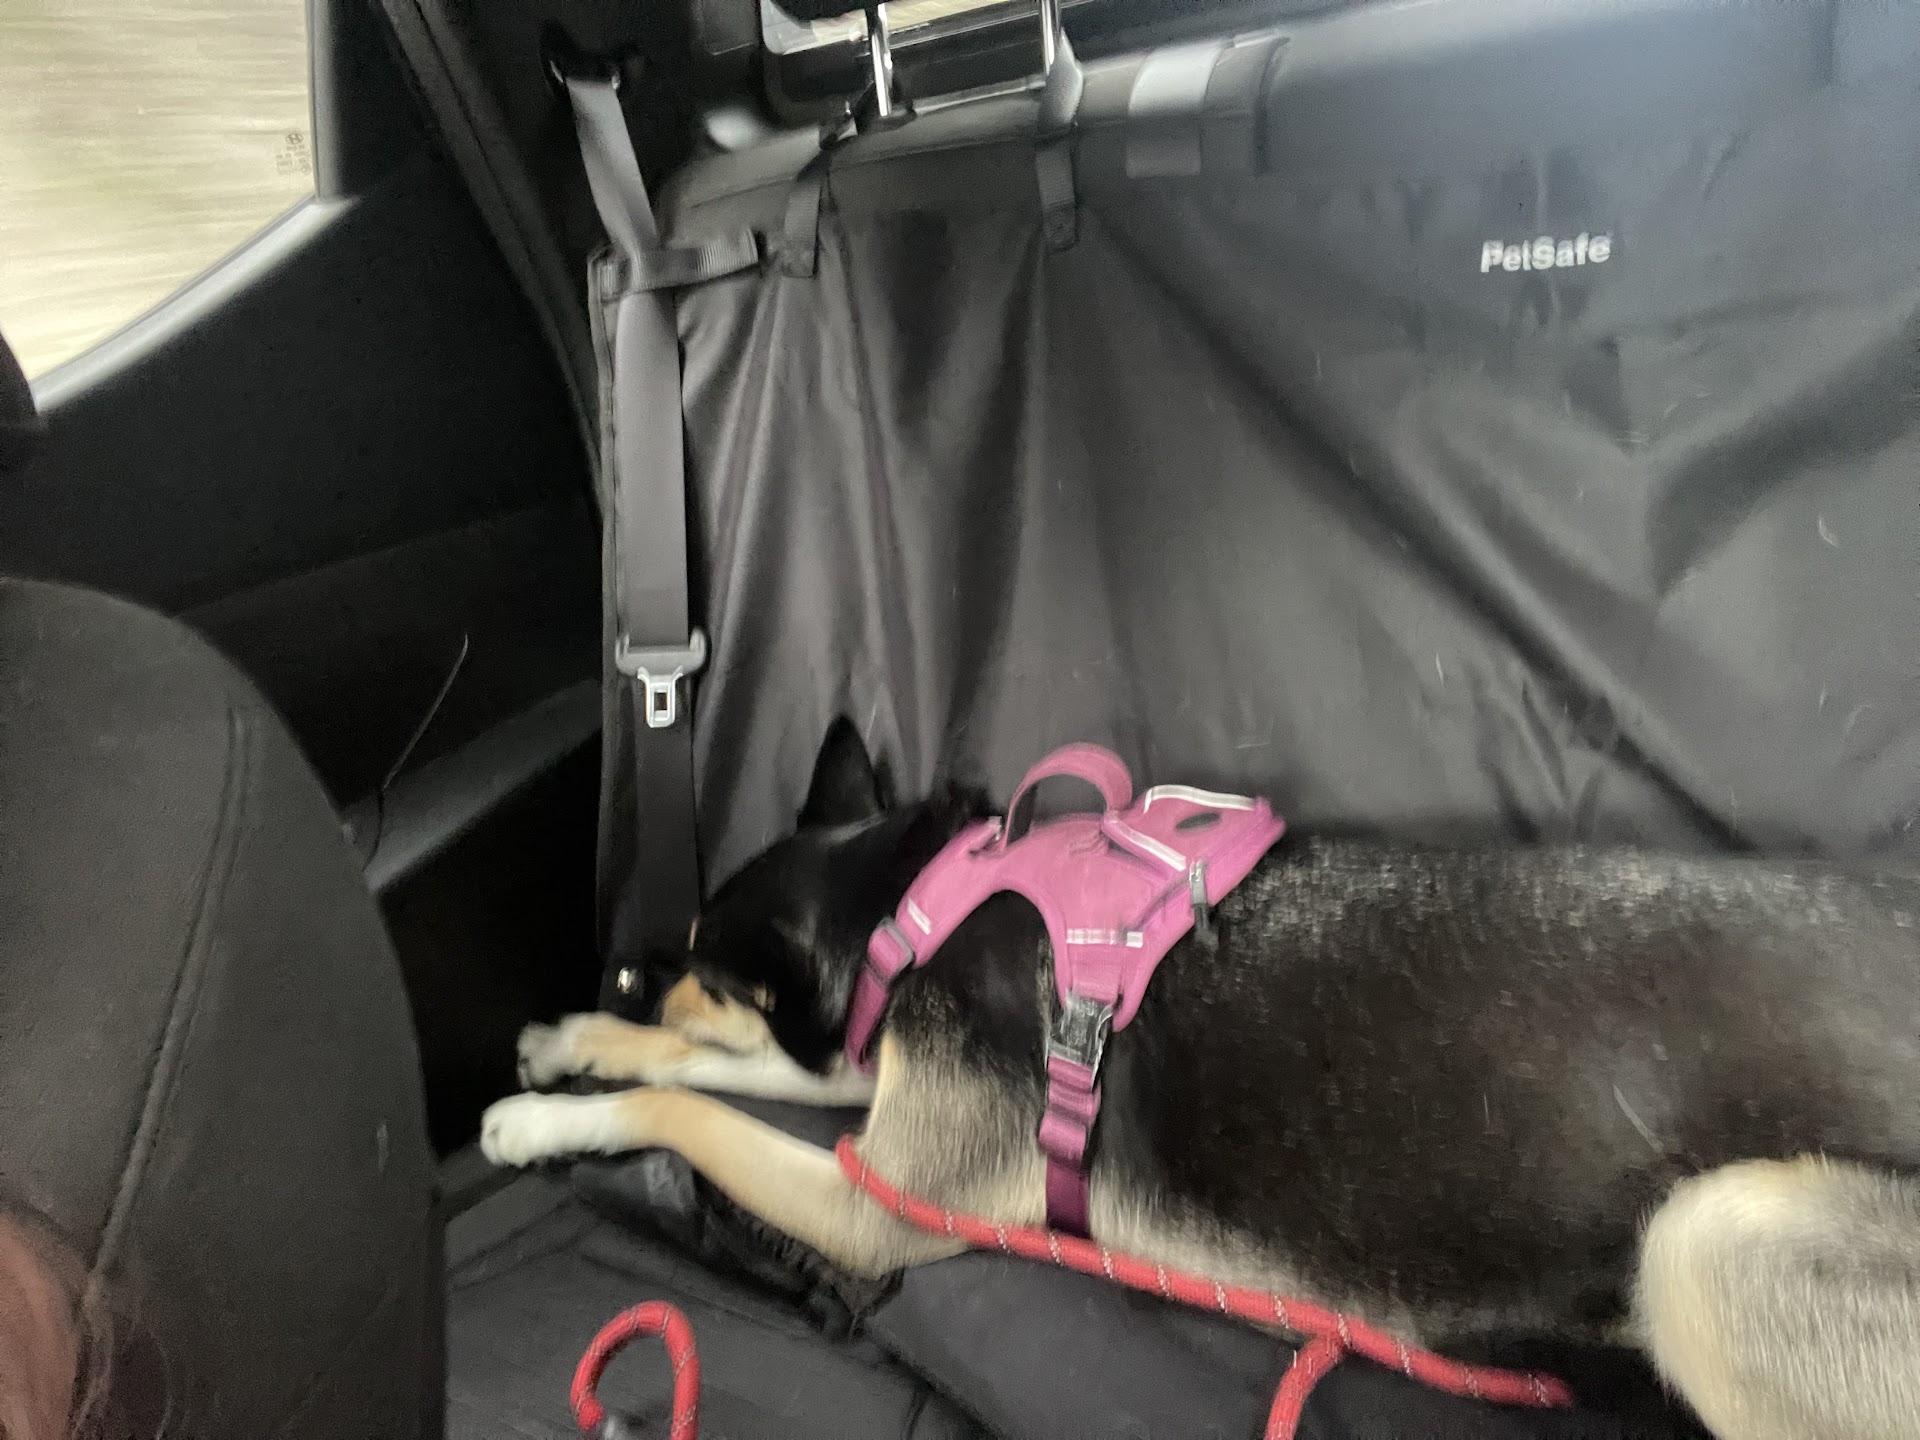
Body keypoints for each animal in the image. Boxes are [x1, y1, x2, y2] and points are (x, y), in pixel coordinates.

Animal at [483, 720, 1920, 1440]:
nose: (634, 973)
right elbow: (713, 1072)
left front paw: (544, 1111)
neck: (923, 902)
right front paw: (575, 1042)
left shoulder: (878, 1196)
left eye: (701, 969)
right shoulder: (888, 1090)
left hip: (1709, 1242)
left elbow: (693, 1097)